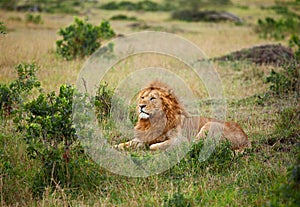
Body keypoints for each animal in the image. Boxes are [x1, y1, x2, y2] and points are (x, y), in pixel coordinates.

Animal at [115, 81, 251, 152]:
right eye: (142, 97)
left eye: (152, 98)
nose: (141, 106)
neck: (152, 122)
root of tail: (246, 139)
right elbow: (129, 142)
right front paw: (118, 146)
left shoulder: (179, 139)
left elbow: (154, 146)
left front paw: (146, 146)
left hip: (209, 125)